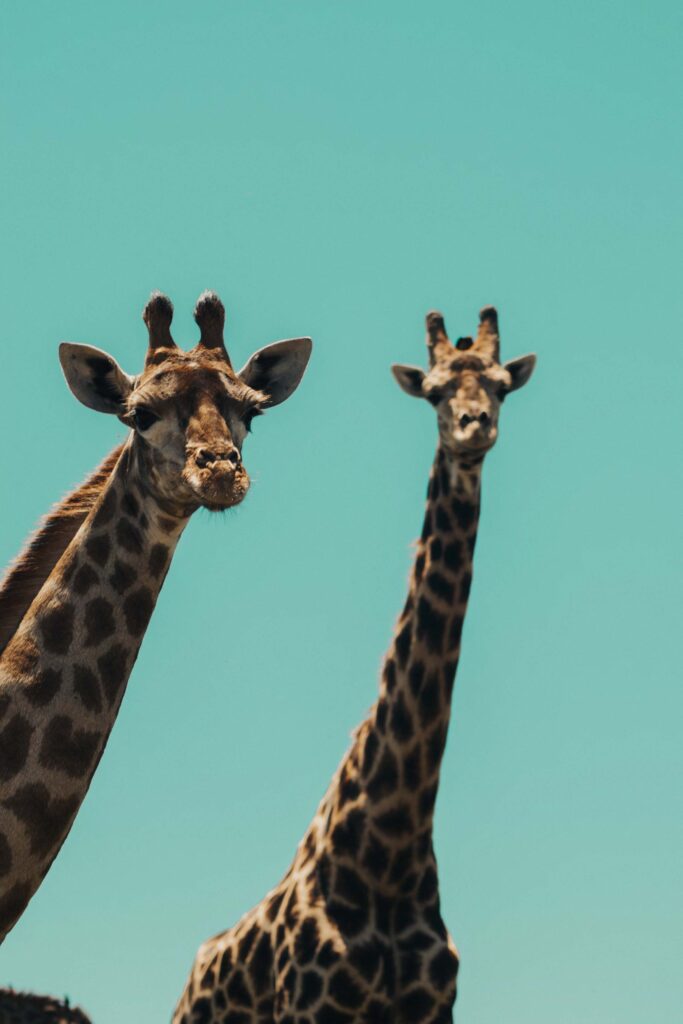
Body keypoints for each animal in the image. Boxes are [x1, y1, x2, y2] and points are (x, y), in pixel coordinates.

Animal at [174, 303, 536, 1024]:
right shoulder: (314, 1005)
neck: (392, 845)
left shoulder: (434, 1008)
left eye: (502, 387)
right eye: (434, 392)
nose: (472, 426)